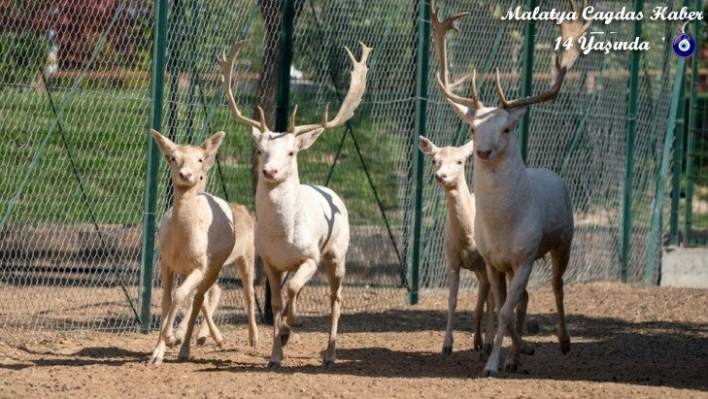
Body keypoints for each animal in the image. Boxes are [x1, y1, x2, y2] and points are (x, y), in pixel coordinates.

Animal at [216, 39, 370, 368]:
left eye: (291, 152)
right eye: (260, 150)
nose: (269, 171)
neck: (283, 237)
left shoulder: (310, 255)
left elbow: (292, 289)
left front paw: (292, 326)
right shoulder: (270, 261)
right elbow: (276, 301)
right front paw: (276, 353)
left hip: (337, 252)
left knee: (335, 297)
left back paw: (330, 354)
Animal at [428, 0, 588, 376]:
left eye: (506, 129)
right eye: (473, 129)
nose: (483, 152)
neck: (503, 226)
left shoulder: (526, 255)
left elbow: (503, 311)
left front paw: (492, 364)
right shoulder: (493, 261)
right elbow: (502, 307)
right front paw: (517, 349)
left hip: (564, 240)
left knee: (558, 286)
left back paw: (564, 342)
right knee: (524, 298)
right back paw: (517, 356)